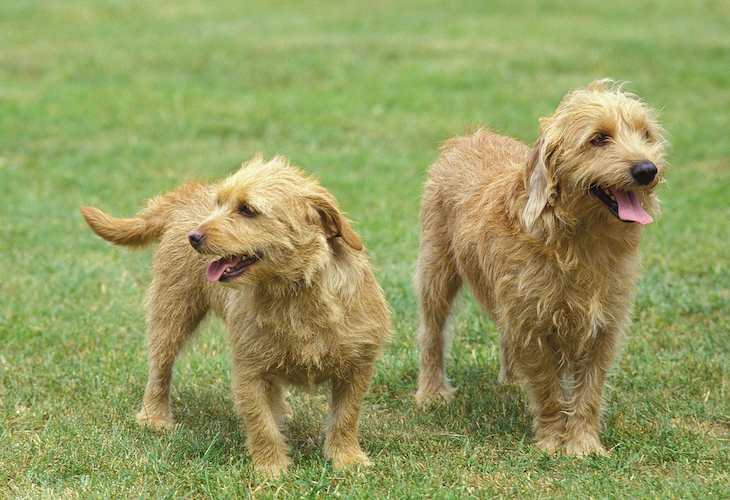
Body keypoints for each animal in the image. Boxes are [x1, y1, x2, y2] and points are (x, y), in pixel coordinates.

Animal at [79, 155, 392, 472]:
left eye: (247, 210)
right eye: (219, 204)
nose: (193, 236)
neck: (296, 290)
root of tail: (186, 196)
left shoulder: (358, 365)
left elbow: (345, 417)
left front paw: (348, 459)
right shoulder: (248, 368)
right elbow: (261, 424)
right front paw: (271, 469)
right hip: (171, 313)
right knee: (160, 368)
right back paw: (154, 417)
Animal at [412, 79, 664, 458]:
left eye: (645, 134)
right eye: (599, 138)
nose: (647, 170)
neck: (579, 240)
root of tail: (468, 138)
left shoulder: (605, 326)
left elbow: (589, 391)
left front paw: (584, 444)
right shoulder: (533, 324)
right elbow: (548, 388)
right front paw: (552, 441)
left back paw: (514, 381)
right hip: (436, 272)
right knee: (432, 333)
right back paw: (431, 392)